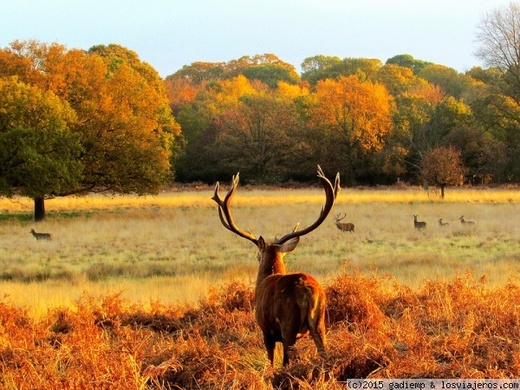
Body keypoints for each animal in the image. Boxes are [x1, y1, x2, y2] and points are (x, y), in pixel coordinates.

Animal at [212, 166, 342, 368]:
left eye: (258, 253)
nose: (258, 256)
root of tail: (307, 291)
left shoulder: (266, 330)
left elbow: (272, 361)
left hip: (288, 324)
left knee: (293, 358)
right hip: (320, 322)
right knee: (324, 354)